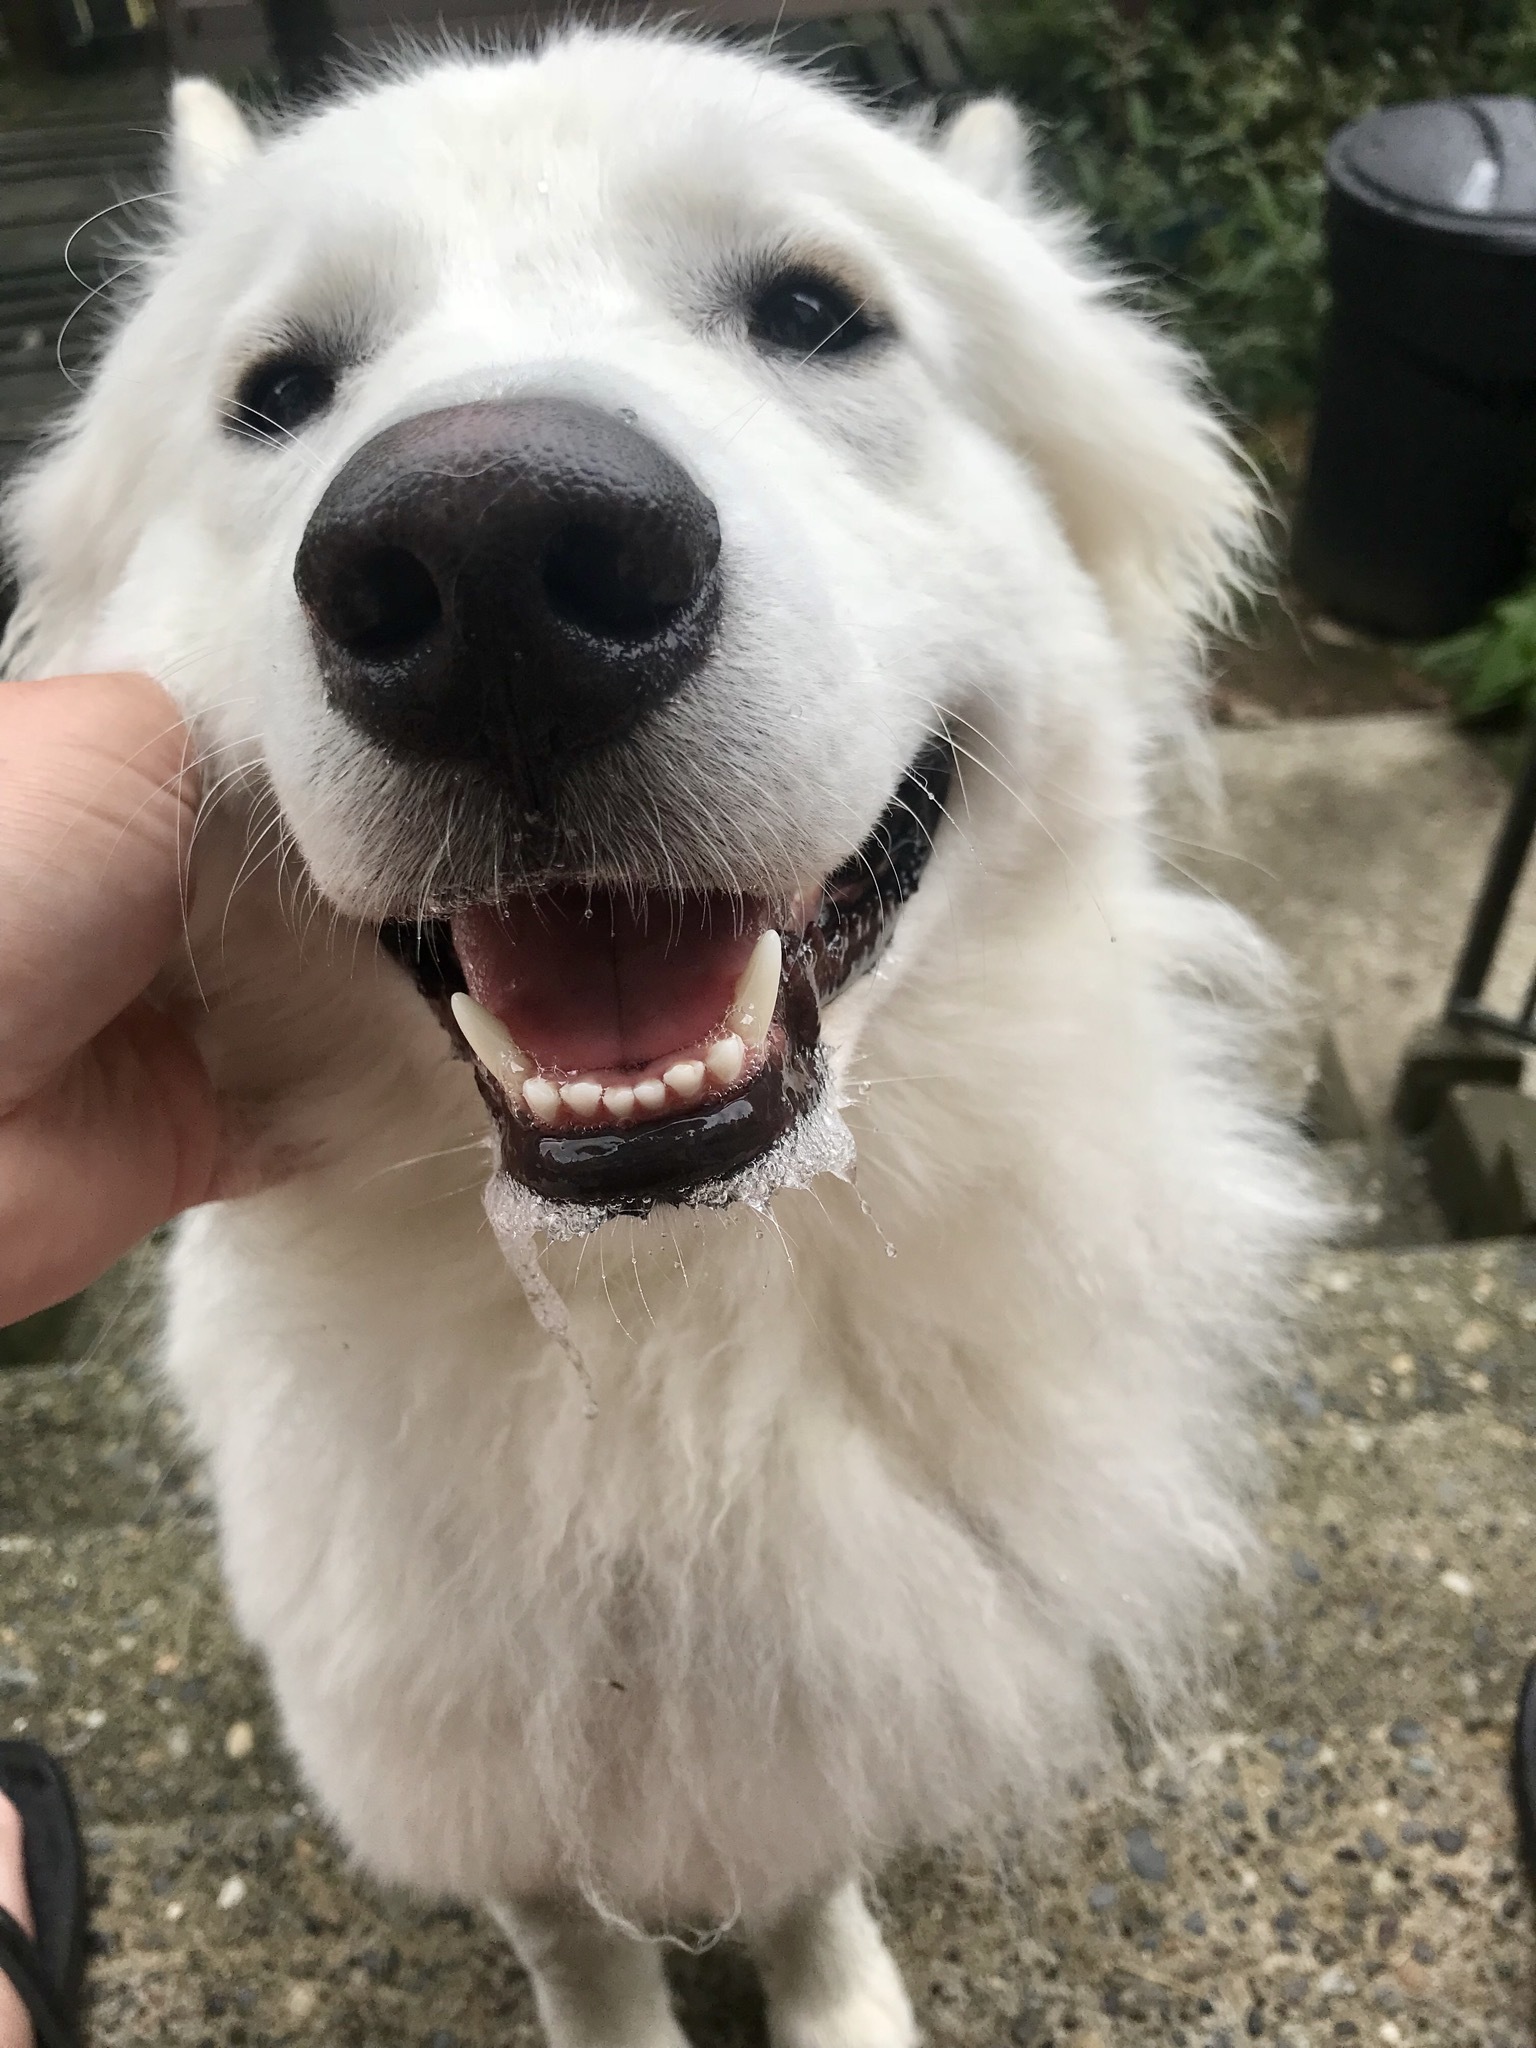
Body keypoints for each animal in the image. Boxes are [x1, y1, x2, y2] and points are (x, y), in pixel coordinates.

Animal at [6, 36, 1318, 2048]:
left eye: (815, 311)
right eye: (278, 389)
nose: (486, 558)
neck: (666, 1330)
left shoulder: (805, 1708)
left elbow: (803, 1872)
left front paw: (838, 2000)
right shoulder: (477, 1778)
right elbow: (583, 1945)